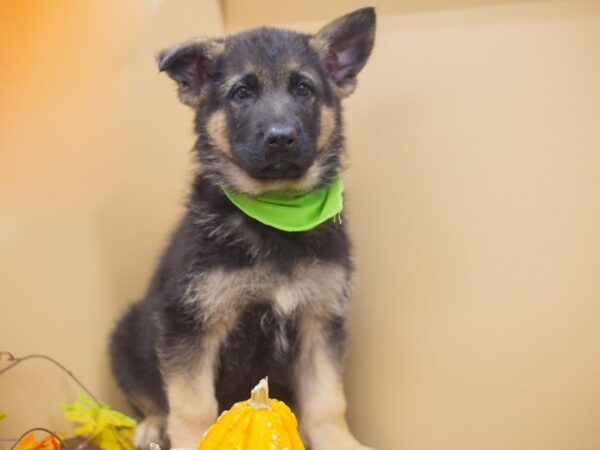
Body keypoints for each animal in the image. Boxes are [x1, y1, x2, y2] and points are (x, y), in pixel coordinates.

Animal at [109, 7, 376, 450]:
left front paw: (339, 441)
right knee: (149, 397)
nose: (281, 138)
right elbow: (191, 404)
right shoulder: (190, 325)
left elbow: (328, 399)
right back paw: (150, 426)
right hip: (127, 334)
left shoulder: (319, 321)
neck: (275, 217)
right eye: (241, 93)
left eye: (303, 88)